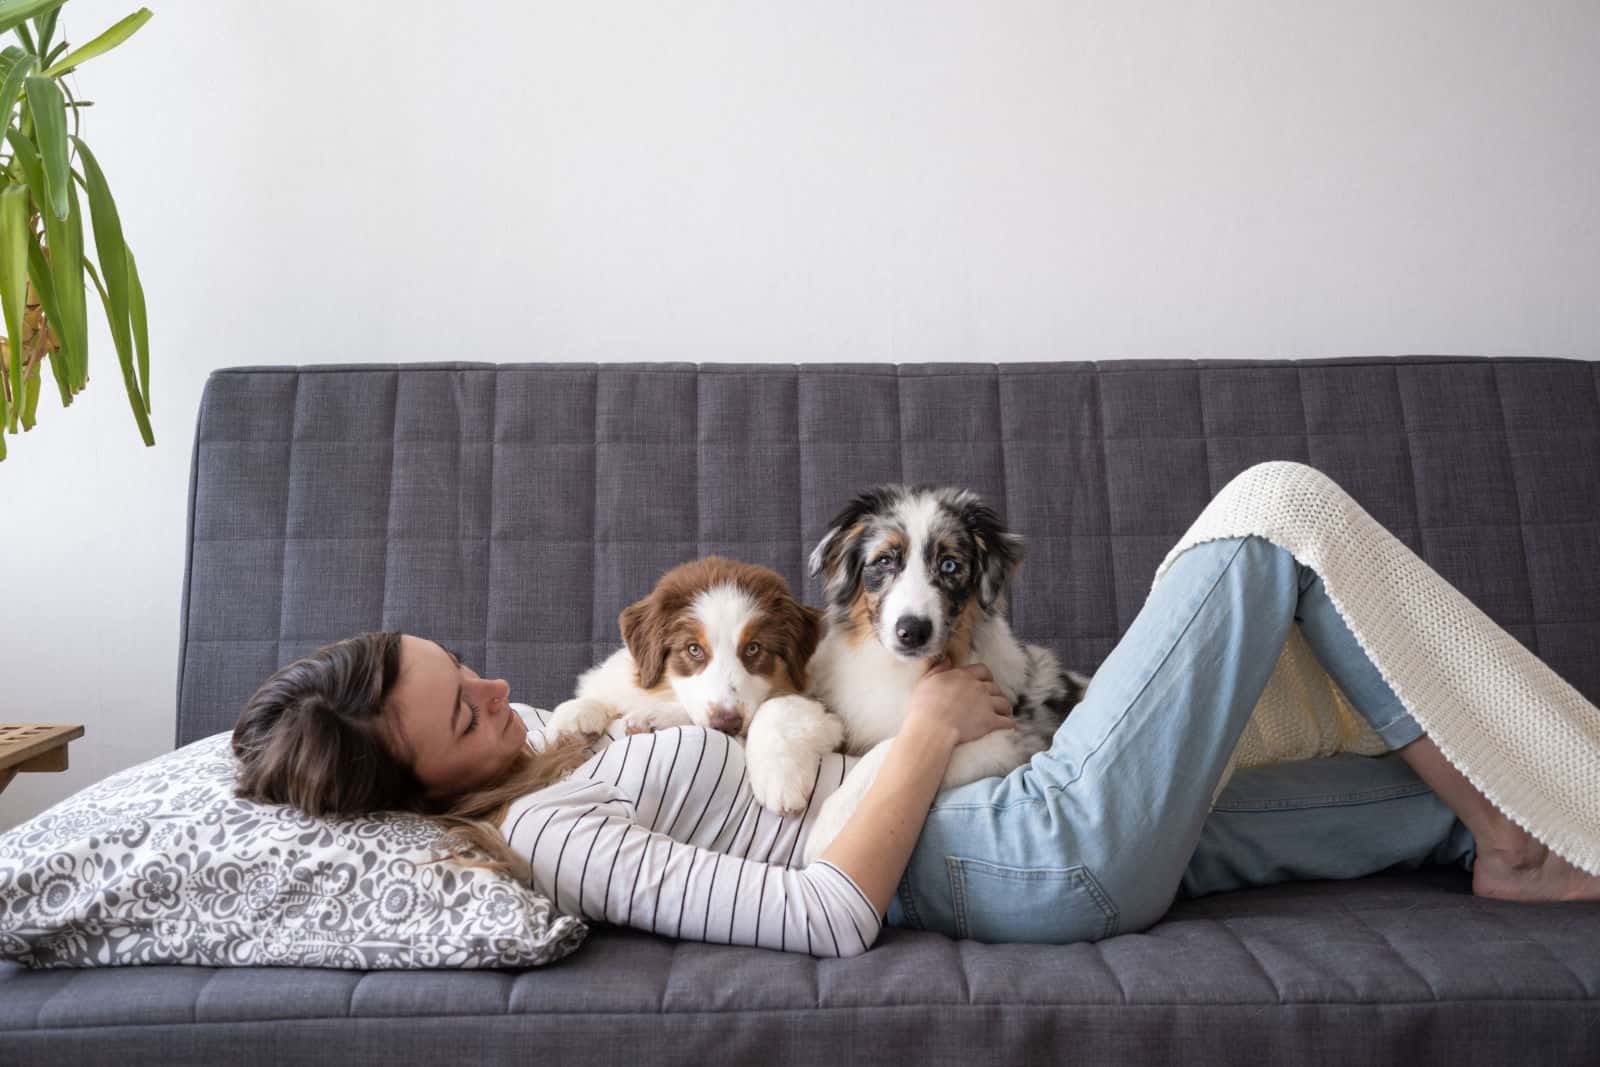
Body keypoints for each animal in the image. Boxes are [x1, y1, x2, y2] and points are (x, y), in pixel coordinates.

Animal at [547, 556, 851, 812]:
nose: (728, 723)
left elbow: (779, 706)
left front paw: (780, 778)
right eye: (694, 649)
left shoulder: (832, 720)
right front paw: (575, 717)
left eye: (753, 648)